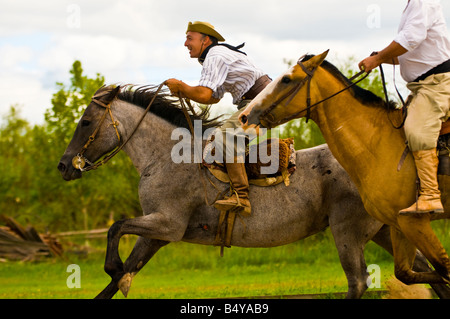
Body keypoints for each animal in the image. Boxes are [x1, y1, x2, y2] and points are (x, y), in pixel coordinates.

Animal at [58, 85, 448, 300]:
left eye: (86, 122)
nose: (64, 166)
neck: (165, 157)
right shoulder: (156, 234)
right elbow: (123, 270)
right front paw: (119, 277)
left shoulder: (166, 224)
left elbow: (115, 229)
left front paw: (113, 269)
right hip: (383, 230)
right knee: (422, 268)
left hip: (348, 232)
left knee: (360, 282)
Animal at [241, 50, 450, 290]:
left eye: (286, 79)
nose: (245, 115)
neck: (380, 142)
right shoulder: (399, 225)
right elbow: (408, 273)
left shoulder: (415, 222)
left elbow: (444, 268)